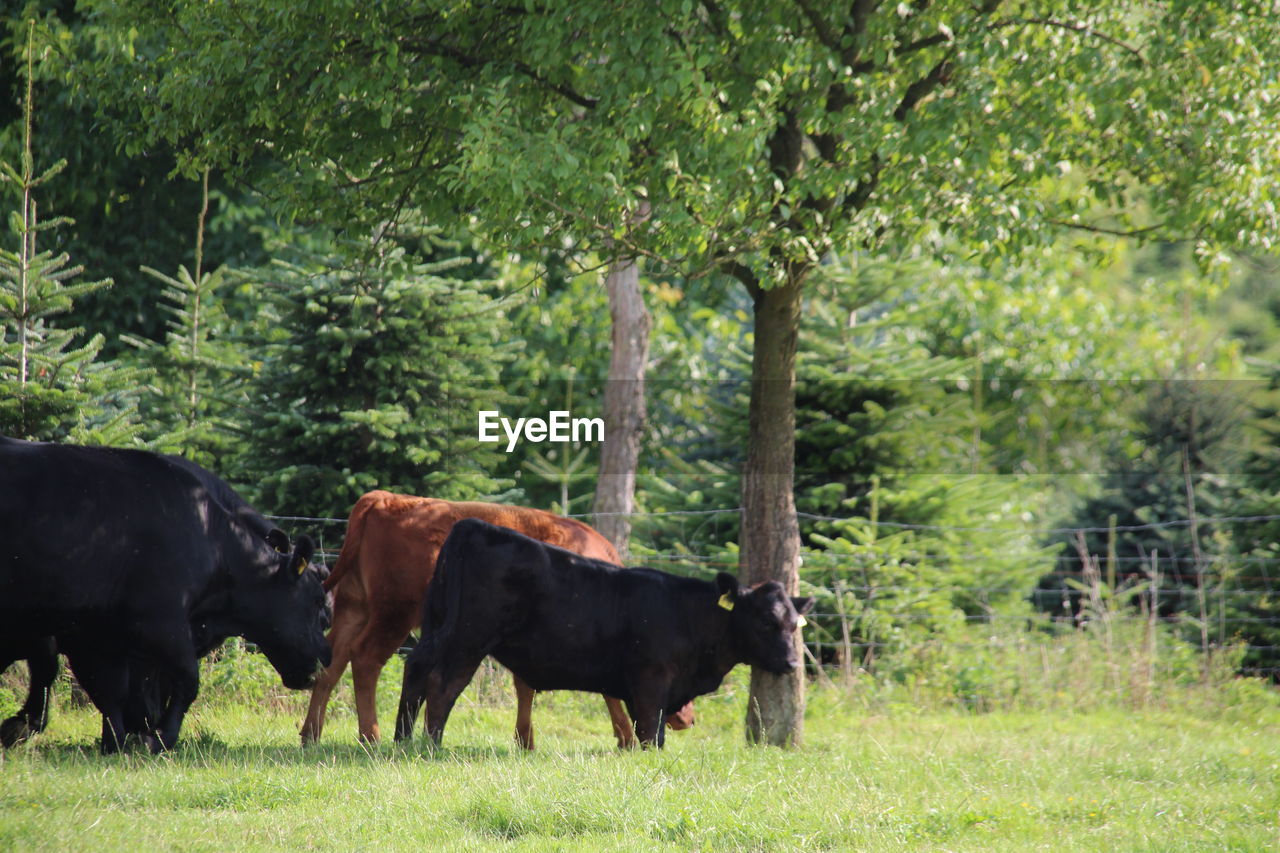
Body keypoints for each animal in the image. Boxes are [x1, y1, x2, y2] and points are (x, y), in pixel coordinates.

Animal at [0, 438, 335, 753]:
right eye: (317, 602)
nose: (326, 658)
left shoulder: (98, 634)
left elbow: (111, 690)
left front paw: (117, 740)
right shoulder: (157, 622)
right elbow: (184, 681)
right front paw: (156, 737)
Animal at [296, 491, 691, 742]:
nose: (690, 718)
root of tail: (382, 497)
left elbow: (525, 685)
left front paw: (525, 740)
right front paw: (625, 737)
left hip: (355, 609)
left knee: (331, 664)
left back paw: (310, 734)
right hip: (393, 614)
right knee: (365, 661)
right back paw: (371, 736)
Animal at [394, 512, 814, 742]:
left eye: (794, 624)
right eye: (765, 621)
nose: (793, 664)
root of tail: (473, 525)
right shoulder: (650, 681)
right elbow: (652, 735)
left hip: (437, 626)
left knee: (416, 669)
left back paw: (402, 741)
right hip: (468, 637)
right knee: (442, 684)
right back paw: (432, 745)